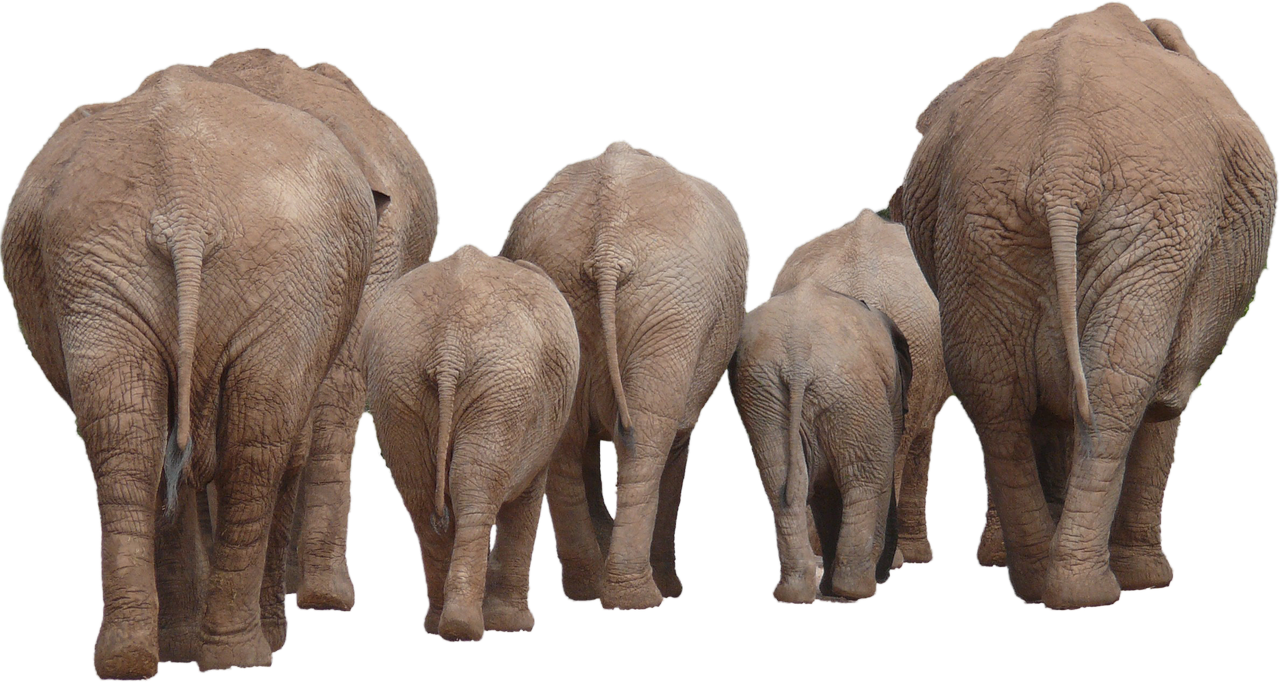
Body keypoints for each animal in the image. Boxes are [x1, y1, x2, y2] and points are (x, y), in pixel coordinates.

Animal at [1, 63, 383, 676]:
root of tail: (185, 204)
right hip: (252, 267)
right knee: (252, 441)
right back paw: (237, 654)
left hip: (103, 266)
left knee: (129, 431)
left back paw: (135, 659)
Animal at [361, 243, 579, 642]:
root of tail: (448, 344)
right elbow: (527, 496)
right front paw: (513, 625)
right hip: (499, 387)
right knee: (474, 488)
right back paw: (465, 626)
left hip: (397, 383)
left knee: (420, 494)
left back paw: (443, 624)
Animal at [497, 139, 750, 610]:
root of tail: (607, 241)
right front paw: (667, 588)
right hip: (673, 311)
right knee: (647, 438)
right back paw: (641, 597)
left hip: (571, 292)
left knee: (568, 440)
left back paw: (589, 589)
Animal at [728, 281, 912, 604]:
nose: (887, 574)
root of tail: (798, 360)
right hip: (850, 390)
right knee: (865, 478)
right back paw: (857, 590)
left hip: (763, 393)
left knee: (781, 482)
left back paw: (795, 593)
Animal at [889, 1, 1276, 609]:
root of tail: (1063, 159)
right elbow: (1164, 399)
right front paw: (1147, 579)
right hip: (1148, 224)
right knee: (1119, 383)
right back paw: (1092, 590)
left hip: (980, 228)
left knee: (995, 387)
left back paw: (1039, 582)